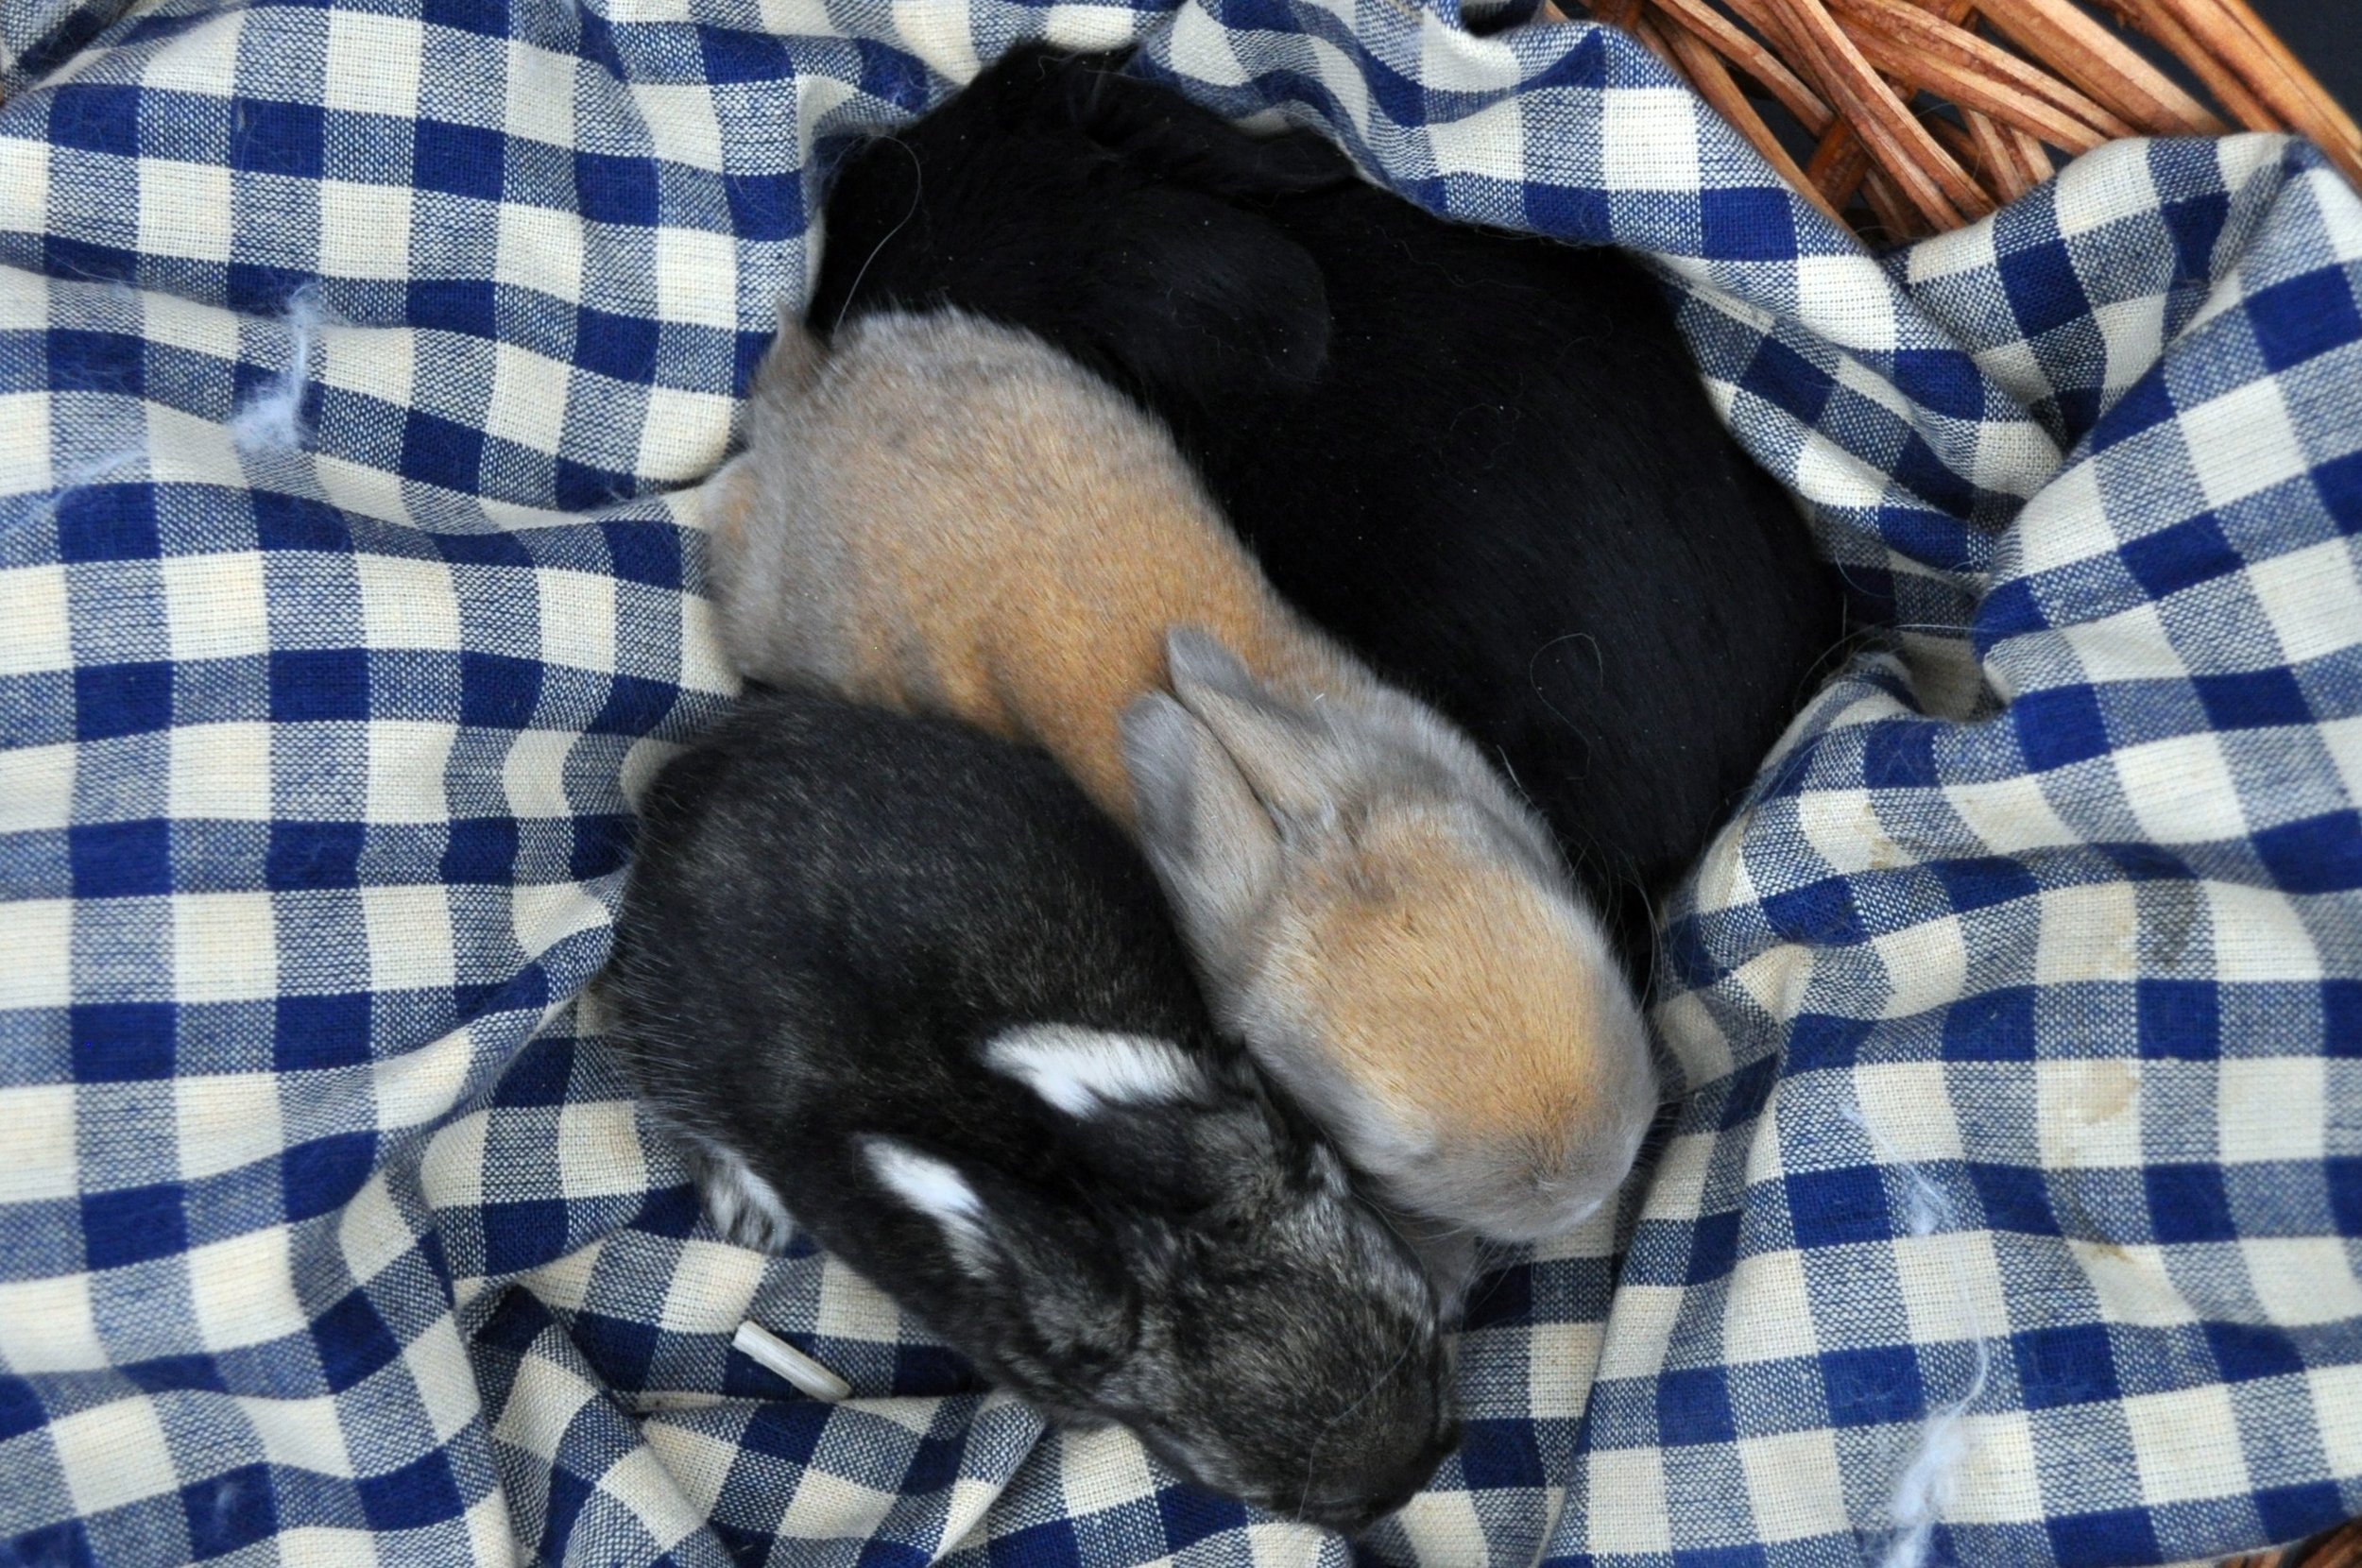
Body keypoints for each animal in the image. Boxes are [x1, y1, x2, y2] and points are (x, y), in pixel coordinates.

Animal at [602, 686, 1462, 1533]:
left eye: (1426, 1333)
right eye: (1268, 1500)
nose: (1426, 1471)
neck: (1095, 1198)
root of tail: (688, 777)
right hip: (671, 1037)